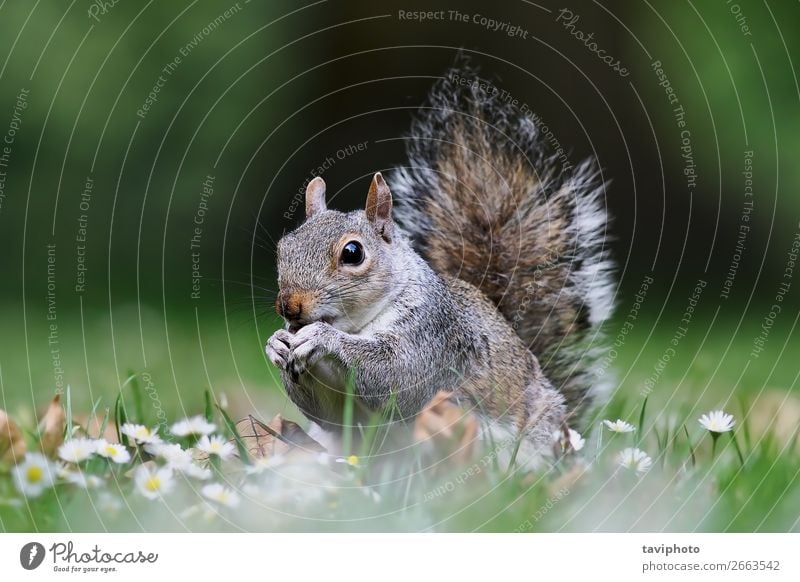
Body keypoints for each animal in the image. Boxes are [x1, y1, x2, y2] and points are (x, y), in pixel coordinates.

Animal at [268, 67, 612, 460]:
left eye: (353, 253)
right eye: (283, 247)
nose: (289, 306)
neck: (358, 324)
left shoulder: (434, 336)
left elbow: (396, 375)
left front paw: (322, 337)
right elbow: (330, 413)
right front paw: (276, 344)